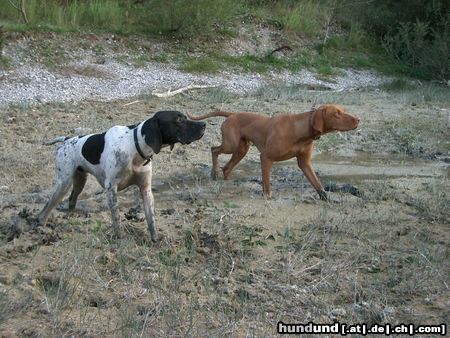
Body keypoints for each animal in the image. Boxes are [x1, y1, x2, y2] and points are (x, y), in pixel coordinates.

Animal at [186, 104, 358, 199]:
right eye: (336, 113)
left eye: (343, 110)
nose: (358, 119)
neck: (300, 130)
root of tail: (232, 114)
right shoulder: (266, 157)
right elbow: (267, 182)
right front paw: (267, 196)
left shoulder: (305, 163)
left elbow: (317, 184)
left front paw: (326, 198)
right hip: (231, 145)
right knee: (214, 150)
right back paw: (213, 173)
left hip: (241, 149)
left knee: (227, 167)